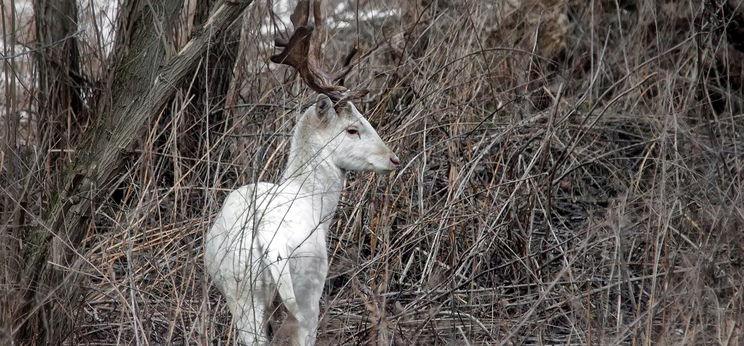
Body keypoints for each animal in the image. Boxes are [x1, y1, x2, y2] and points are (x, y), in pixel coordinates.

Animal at [203, 92, 402, 344]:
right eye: (352, 129)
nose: (393, 159)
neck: (313, 200)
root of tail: (271, 239)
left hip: (242, 291)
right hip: (308, 289)